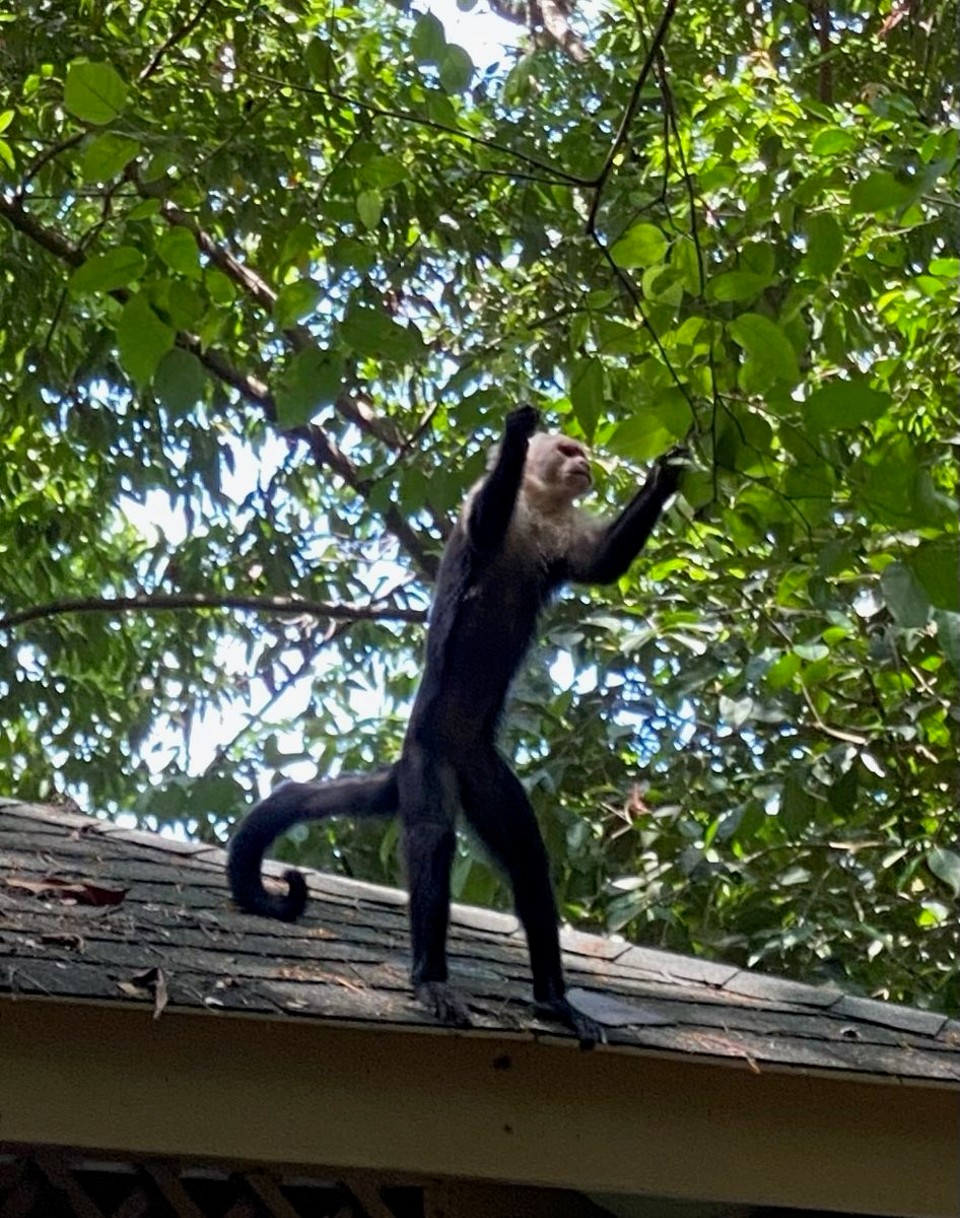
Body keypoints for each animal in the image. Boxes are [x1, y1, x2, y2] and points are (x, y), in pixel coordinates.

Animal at [229, 409, 687, 1047]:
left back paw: (553, 999)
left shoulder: (565, 532)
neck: (537, 507)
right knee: (432, 841)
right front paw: (515, 435)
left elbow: (603, 565)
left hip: (484, 771)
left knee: (527, 857)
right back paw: (430, 978)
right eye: (568, 450)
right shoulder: (482, 507)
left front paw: (668, 475)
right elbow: (486, 522)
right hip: (429, 761)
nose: (585, 465)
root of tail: (421, 752)